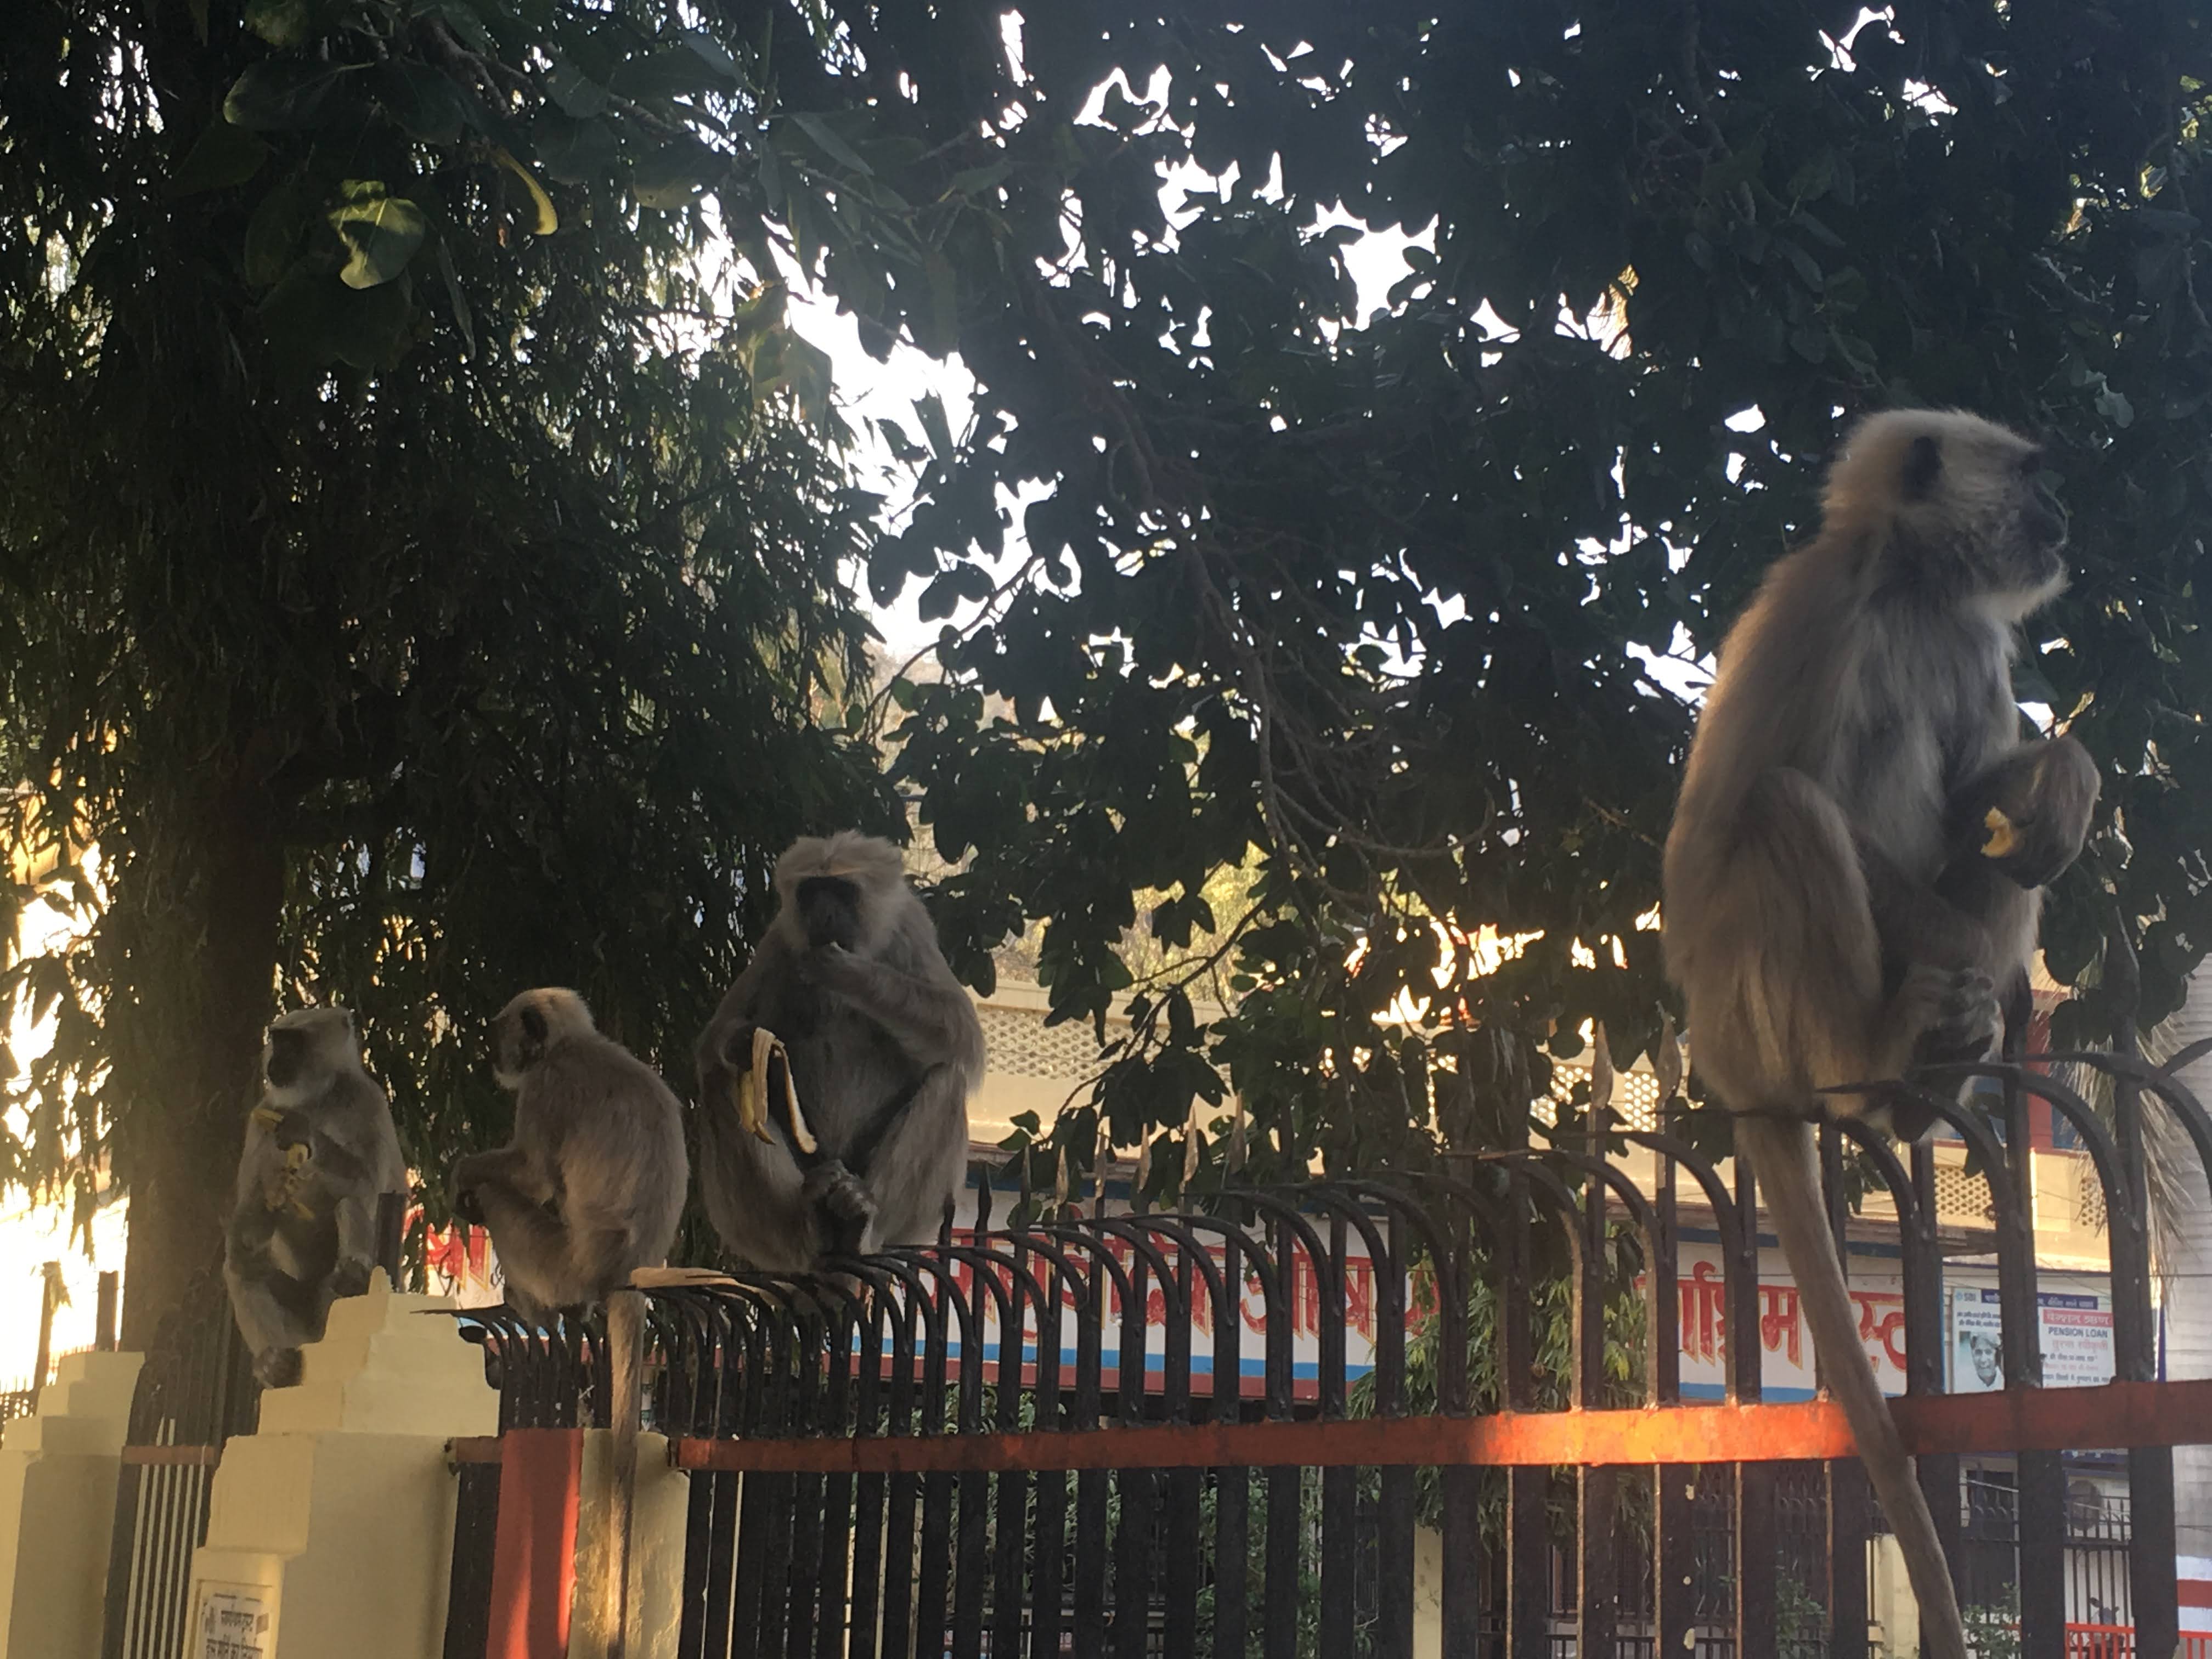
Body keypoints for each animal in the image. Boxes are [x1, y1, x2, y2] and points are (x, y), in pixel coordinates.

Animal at [227, 1013, 413, 1389]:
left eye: (294, 1043)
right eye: (277, 1039)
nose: (276, 1059)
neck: (314, 1100)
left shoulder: (367, 1100)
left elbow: (369, 1184)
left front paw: (305, 1133)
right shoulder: (263, 1115)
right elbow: (253, 1206)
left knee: (352, 1200)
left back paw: (354, 1277)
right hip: (300, 1317)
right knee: (245, 1270)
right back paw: (273, 1363)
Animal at [451, 986, 685, 1327]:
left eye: (494, 1038)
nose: (491, 1057)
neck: (567, 1045)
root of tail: (624, 1276)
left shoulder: (545, 1083)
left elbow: (533, 1176)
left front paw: (462, 1175)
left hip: (561, 1270)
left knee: (494, 1194)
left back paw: (539, 1312)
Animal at [695, 832, 982, 1274]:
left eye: (842, 892)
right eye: (813, 892)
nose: (824, 914)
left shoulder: (910, 928)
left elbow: (962, 1033)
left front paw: (849, 973)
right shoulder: (779, 940)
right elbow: (714, 1043)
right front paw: (744, 1042)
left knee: (948, 1078)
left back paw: (864, 1224)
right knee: (722, 1081)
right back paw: (807, 1222)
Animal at [1663, 409, 2097, 1659]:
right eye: (2036, 476)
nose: (2065, 513)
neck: (1919, 590)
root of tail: (1722, 1057)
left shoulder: (1976, 645)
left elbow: (1993, 791)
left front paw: (2070, 772)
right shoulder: (1830, 599)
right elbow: (1744, 801)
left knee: (2007, 837)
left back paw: (1931, 1066)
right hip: (1754, 999)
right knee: (1784, 807)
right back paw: (1876, 1068)